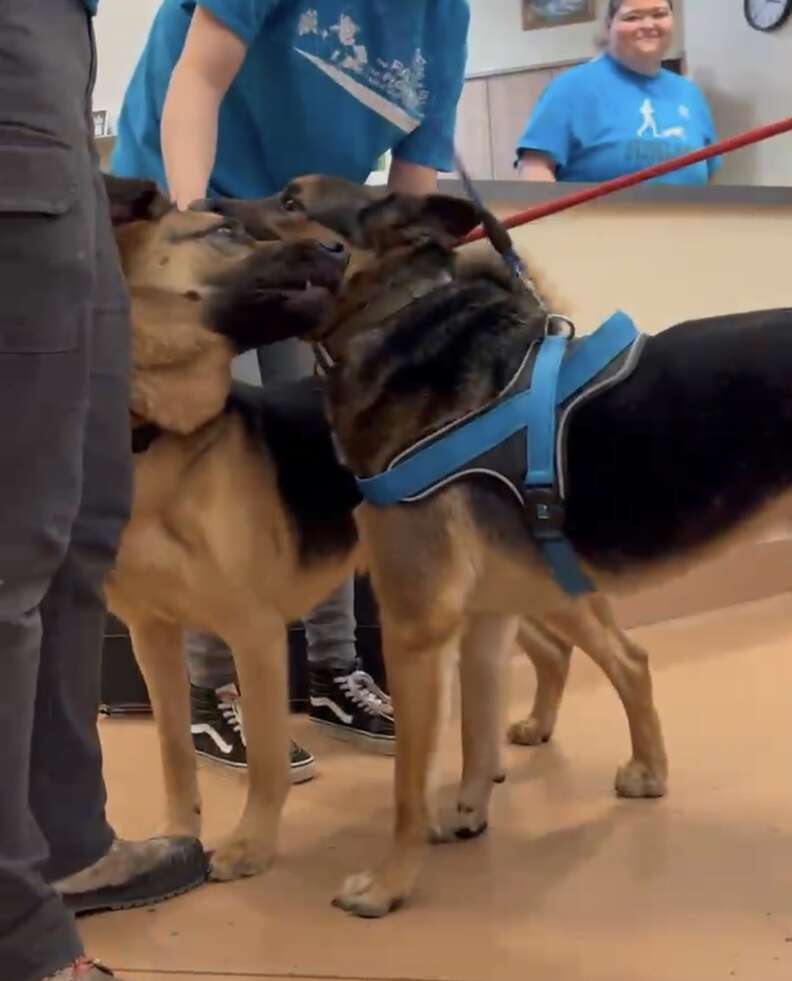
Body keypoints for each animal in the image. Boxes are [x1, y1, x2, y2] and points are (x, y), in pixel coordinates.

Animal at [213, 172, 792, 916]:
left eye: (292, 201)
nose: (205, 207)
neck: (393, 320)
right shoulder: (482, 622)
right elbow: (475, 735)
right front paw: (466, 812)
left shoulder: (416, 629)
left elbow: (409, 785)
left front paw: (391, 883)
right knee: (625, 659)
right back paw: (646, 769)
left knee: (621, 658)